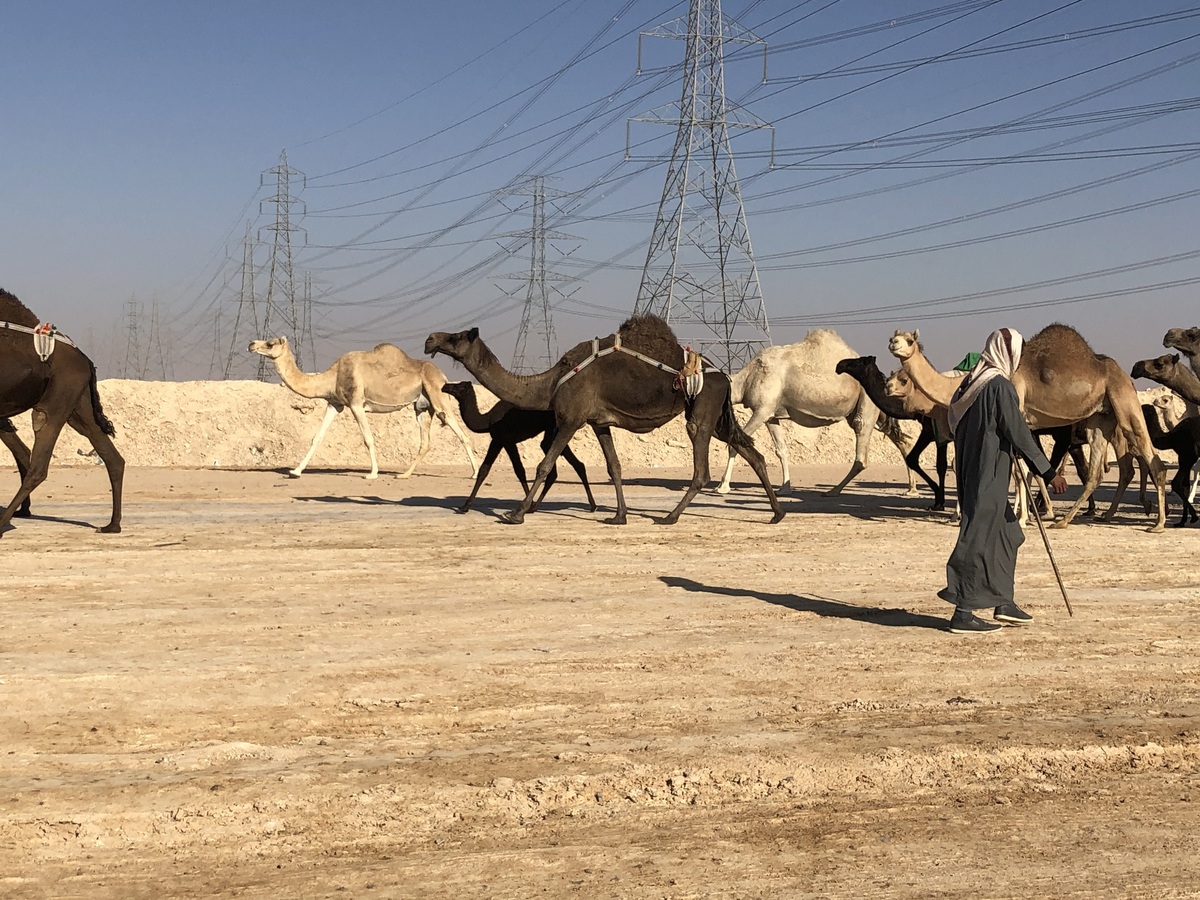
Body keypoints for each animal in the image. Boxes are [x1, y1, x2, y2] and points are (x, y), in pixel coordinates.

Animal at [0, 289, 125, 535]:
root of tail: (86, 359)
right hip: (79, 404)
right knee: (108, 452)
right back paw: (112, 524)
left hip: (61, 392)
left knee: (39, 458)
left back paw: (3, 523)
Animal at [247, 336, 477, 480]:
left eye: (270, 343)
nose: (251, 344)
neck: (333, 375)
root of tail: (442, 375)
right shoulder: (335, 403)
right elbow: (317, 437)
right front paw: (295, 471)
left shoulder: (356, 404)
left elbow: (368, 439)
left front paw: (372, 473)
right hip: (421, 406)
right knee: (425, 442)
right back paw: (403, 474)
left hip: (437, 395)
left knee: (461, 433)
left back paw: (474, 473)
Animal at [439, 381, 597, 513]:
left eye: (459, 387)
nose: (445, 386)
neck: (487, 420)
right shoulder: (497, 440)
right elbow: (484, 470)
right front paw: (464, 506)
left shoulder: (506, 440)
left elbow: (519, 470)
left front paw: (527, 504)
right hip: (553, 429)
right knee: (565, 464)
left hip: (556, 427)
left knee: (564, 462)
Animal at [888, 328, 1166, 532]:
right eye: (895, 336)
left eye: (909, 340)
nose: (893, 343)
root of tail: (1121, 373)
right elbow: (1021, 470)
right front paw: (1024, 515)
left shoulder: (1016, 410)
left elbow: (1019, 472)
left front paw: (1022, 518)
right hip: (1100, 417)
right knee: (1098, 472)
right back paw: (1073, 520)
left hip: (1123, 399)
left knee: (1151, 459)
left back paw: (1158, 523)